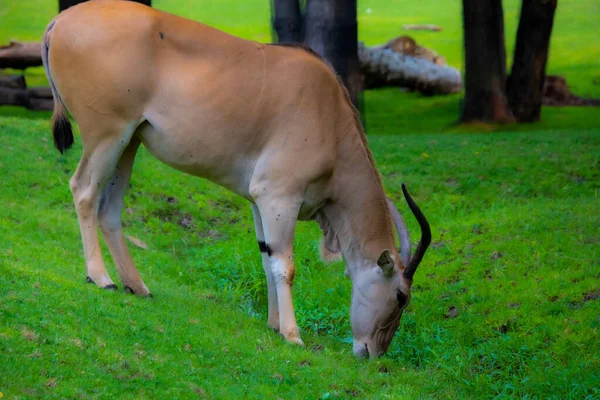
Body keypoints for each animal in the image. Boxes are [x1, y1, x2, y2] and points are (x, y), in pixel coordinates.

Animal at [43, 0, 432, 356]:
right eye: (400, 296)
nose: (373, 352)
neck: (329, 116)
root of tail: (60, 21)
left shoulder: (261, 202)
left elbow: (265, 257)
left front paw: (274, 324)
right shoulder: (279, 196)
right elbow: (285, 266)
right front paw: (292, 334)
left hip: (129, 143)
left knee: (109, 210)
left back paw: (136, 285)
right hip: (107, 136)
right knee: (83, 191)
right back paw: (101, 277)